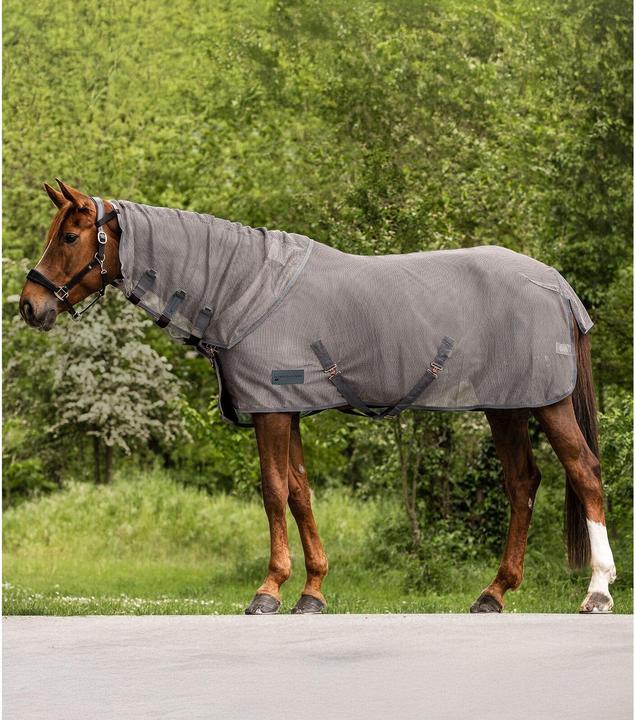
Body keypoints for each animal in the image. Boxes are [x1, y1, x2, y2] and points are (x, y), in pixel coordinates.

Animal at [19, 179, 617, 615]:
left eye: (69, 237)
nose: (29, 305)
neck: (244, 290)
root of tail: (558, 285)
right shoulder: (289, 410)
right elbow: (301, 493)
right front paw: (312, 592)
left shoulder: (271, 411)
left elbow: (272, 492)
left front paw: (268, 590)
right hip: (506, 407)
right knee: (523, 484)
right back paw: (493, 593)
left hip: (546, 404)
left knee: (584, 472)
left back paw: (598, 591)